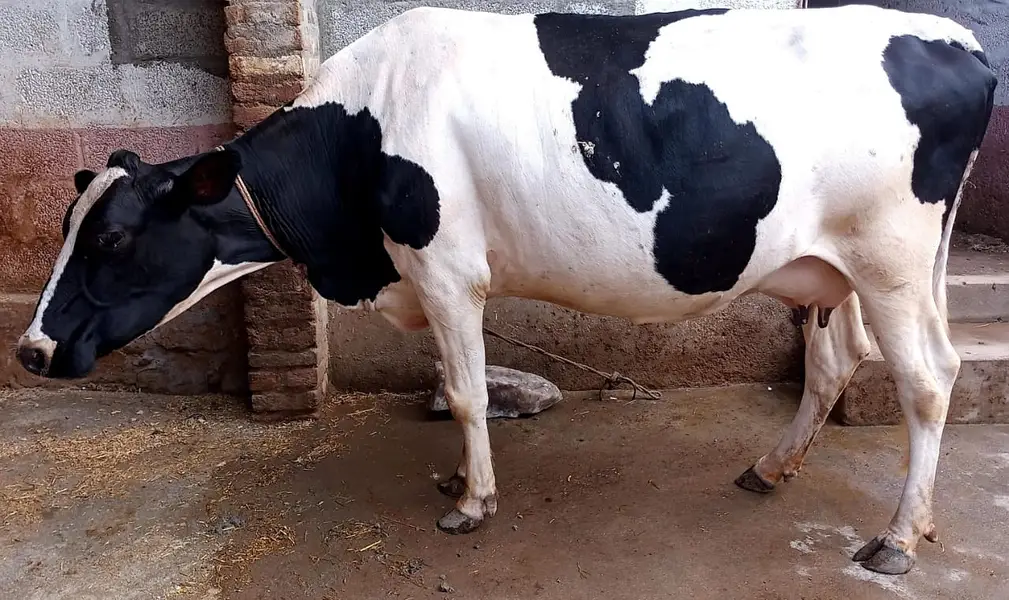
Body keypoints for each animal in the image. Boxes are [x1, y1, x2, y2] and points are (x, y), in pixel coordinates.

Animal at [15, 4, 996, 575]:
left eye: (112, 236)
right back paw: (770, 468)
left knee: (926, 379)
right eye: (69, 224)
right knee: (836, 362)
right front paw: (462, 480)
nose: (30, 348)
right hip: (831, 268)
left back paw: (897, 538)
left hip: (891, 257)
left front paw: (472, 502)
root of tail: (958, 38)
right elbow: (461, 392)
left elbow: (466, 391)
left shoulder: (446, 270)